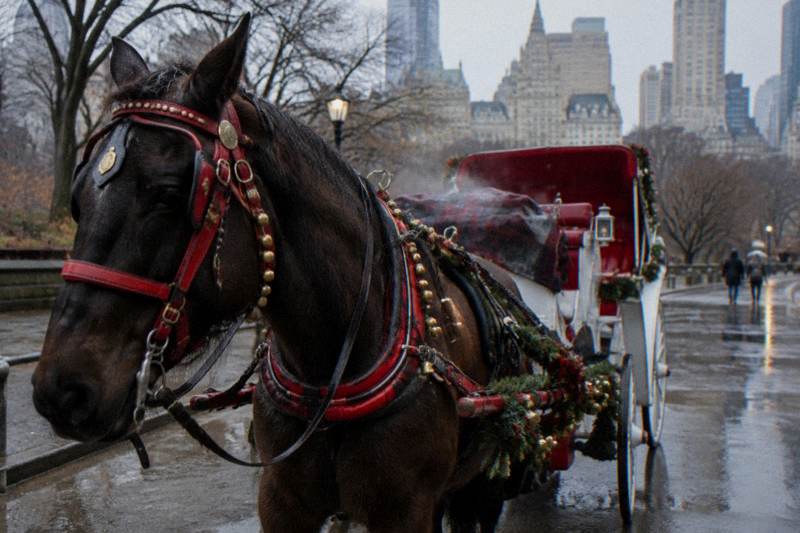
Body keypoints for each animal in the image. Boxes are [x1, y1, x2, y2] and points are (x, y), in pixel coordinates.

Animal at [32, 15, 520, 532]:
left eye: (170, 193)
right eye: (77, 197)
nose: (60, 390)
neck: (329, 369)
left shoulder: (408, 509)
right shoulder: (281, 501)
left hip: (486, 487)